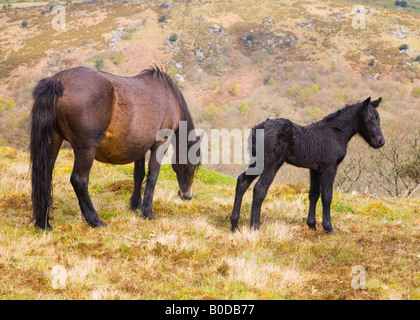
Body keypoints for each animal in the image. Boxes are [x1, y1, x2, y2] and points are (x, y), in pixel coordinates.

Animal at [30, 65, 200, 230]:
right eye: (192, 166)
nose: (187, 195)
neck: (169, 97)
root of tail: (58, 81)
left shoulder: (139, 147)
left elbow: (139, 175)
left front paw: (135, 204)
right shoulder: (160, 144)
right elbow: (152, 176)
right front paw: (147, 212)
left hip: (54, 141)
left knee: (45, 176)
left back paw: (44, 223)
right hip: (86, 149)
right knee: (79, 180)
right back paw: (95, 220)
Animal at [231, 96, 386, 234]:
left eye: (378, 119)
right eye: (370, 119)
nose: (380, 142)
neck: (336, 133)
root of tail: (257, 129)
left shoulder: (315, 169)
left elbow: (313, 194)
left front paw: (312, 225)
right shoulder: (330, 167)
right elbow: (327, 196)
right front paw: (328, 228)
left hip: (257, 162)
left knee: (242, 182)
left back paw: (234, 225)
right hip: (271, 164)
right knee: (260, 188)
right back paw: (254, 228)